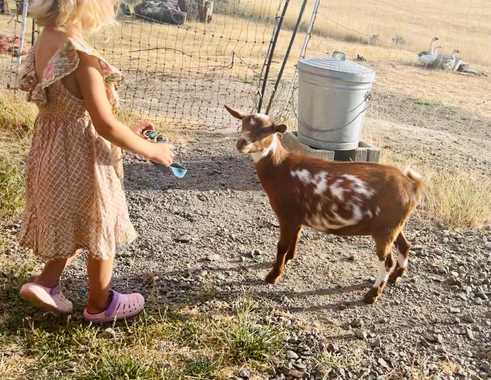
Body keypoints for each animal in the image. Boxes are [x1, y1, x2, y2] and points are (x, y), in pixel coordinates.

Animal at [225, 105, 424, 304]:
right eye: (243, 123)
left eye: (266, 131)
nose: (241, 143)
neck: (280, 167)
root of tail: (412, 185)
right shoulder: (297, 216)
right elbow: (295, 238)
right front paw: (289, 259)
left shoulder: (286, 214)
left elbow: (282, 246)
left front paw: (273, 276)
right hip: (394, 225)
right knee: (405, 245)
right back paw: (396, 276)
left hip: (385, 230)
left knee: (387, 261)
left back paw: (372, 295)